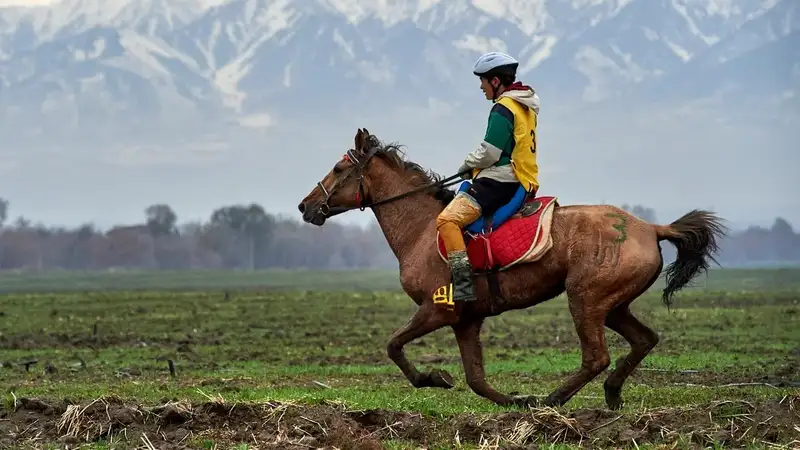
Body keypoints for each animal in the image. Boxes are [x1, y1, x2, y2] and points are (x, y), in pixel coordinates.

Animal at [296, 127, 728, 412]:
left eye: (339, 168)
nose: (305, 206)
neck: (420, 228)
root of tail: (651, 228)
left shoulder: (437, 310)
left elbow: (394, 345)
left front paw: (432, 379)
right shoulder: (466, 321)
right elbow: (476, 379)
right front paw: (513, 399)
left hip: (586, 300)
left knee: (596, 356)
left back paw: (553, 399)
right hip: (614, 305)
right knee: (644, 340)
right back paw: (610, 393)